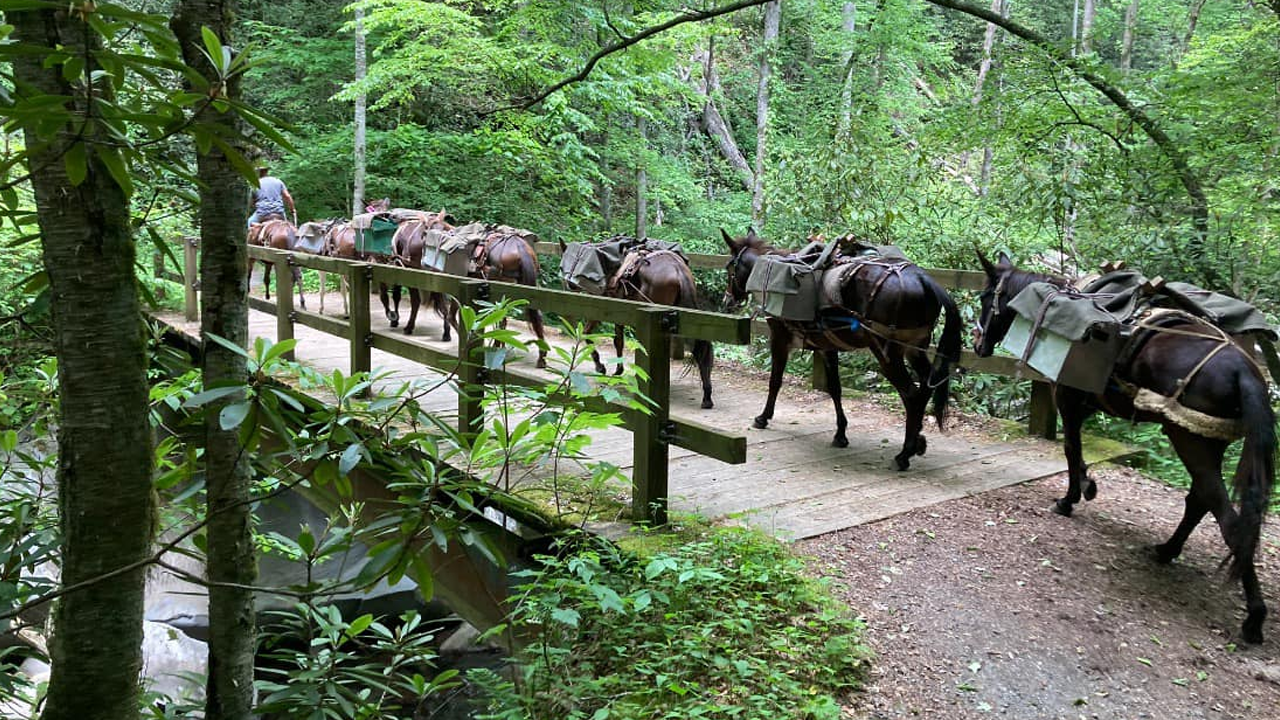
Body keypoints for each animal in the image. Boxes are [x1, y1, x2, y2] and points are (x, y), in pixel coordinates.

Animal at [727, 226, 957, 468]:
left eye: (730, 268)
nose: (728, 300)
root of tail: (923, 279)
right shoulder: (826, 346)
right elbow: (835, 388)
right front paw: (840, 434)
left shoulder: (780, 338)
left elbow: (775, 381)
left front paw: (763, 417)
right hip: (915, 348)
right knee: (926, 387)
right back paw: (916, 441)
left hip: (887, 353)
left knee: (911, 394)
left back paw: (904, 454)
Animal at [972, 251, 1274, 638]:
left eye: (986, 298)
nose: (978, 344)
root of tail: (1244, 371)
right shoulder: (1085, 402)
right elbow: (1076, 450)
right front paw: (1086, 486)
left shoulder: (1068, 396)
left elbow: (1071, 448)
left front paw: (1071, 497)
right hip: (1207, 443)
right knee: (1199, 501)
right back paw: (1167, 550)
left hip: (1190, 440)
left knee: (1228, 522)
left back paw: (1254, 616)